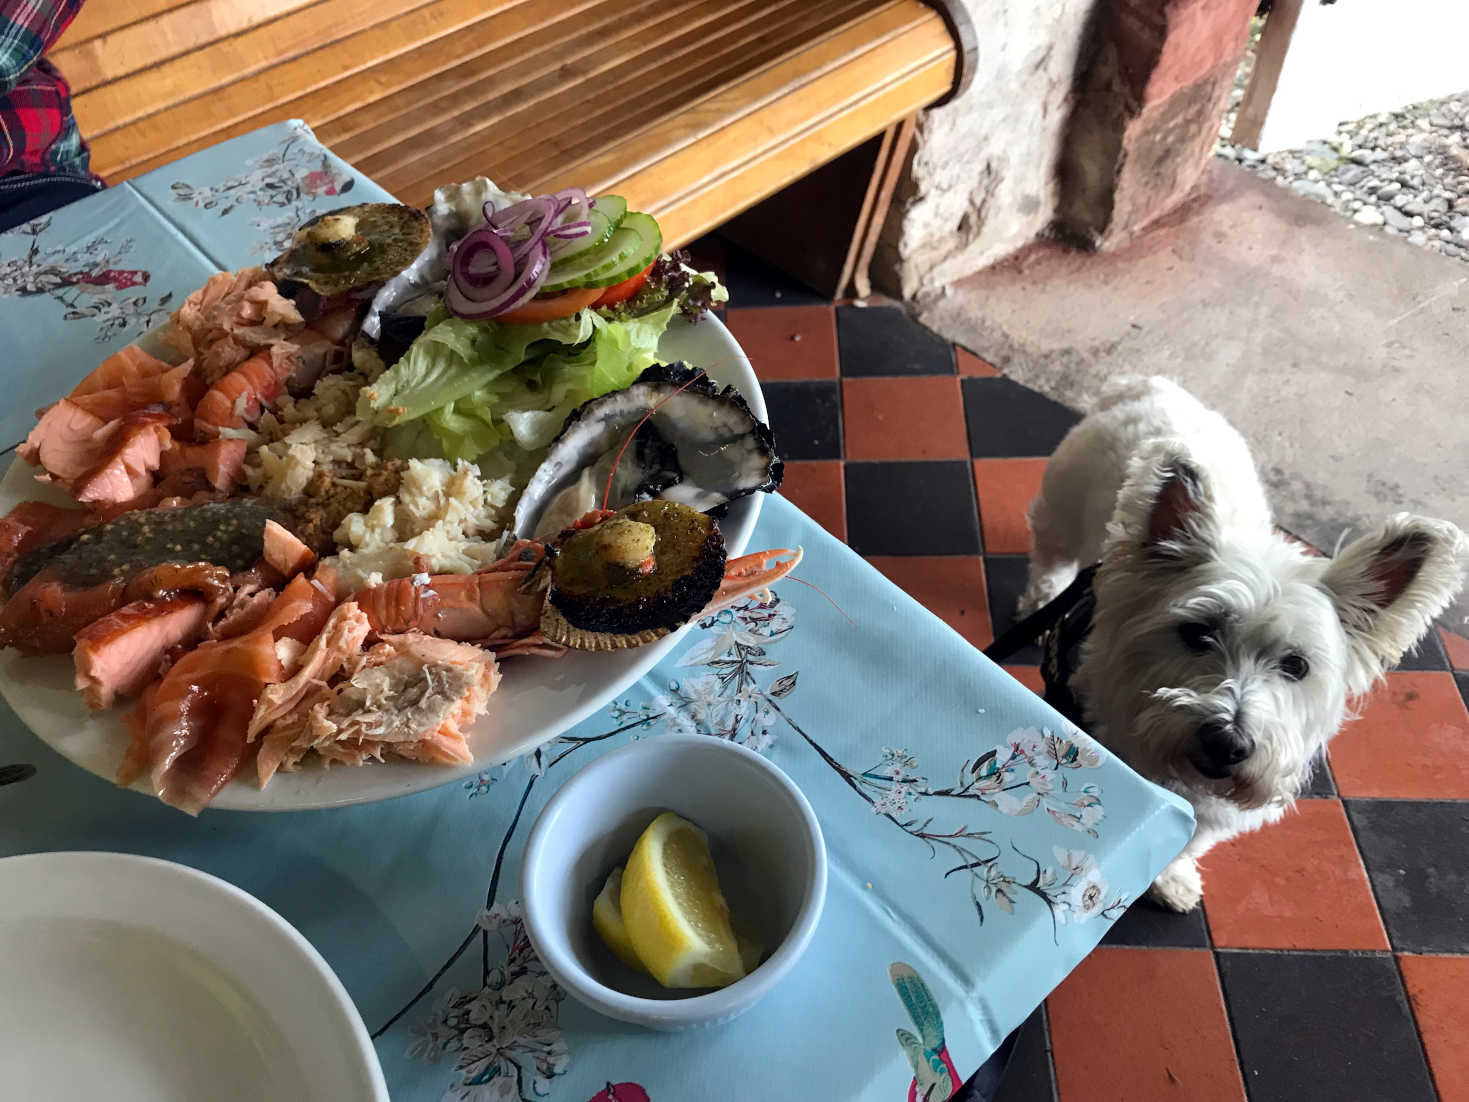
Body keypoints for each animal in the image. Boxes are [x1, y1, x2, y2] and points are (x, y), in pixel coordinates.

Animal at [1022, 379, 1469, 916]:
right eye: (1198, 632)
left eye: (1296, 665)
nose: (1227, 742)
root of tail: (1153, 385)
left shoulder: (1212, 807)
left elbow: (1188, 838)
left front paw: (1168, 878)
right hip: (1062, 505)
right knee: (1049, 554)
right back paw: (1040, 600)